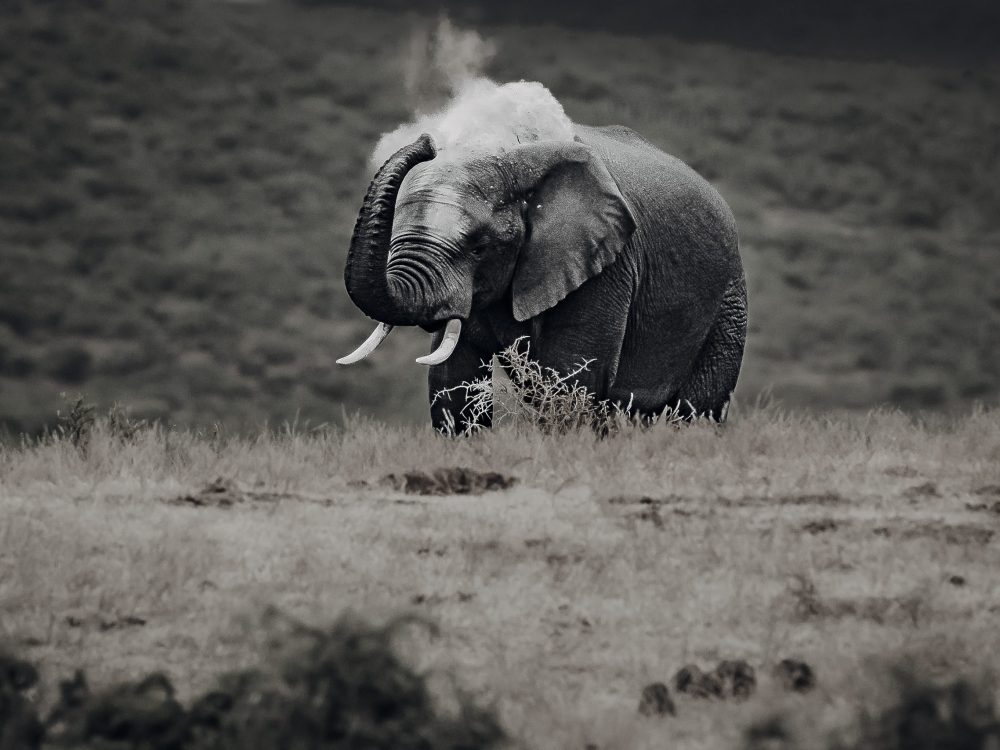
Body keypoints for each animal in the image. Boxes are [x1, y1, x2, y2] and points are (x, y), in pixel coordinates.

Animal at [338, 125, 747, 432]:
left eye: (479, 247)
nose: (427, 142)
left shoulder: (604, 265)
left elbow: (572, 379)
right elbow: (454, 381)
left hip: (728, 299)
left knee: (697, 409)